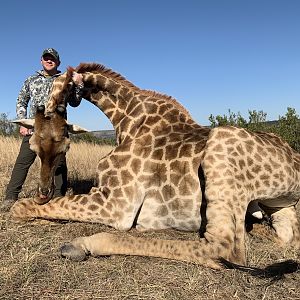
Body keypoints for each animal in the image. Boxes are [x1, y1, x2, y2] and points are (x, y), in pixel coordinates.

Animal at [9, 62, 300, 270]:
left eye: (65, 146)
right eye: (32, 146)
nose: (44, 192)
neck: (127, 123)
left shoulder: (116, 204)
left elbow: (19, 207)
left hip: (222, 143)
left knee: (226, 250)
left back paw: (84, 243)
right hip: (279, 203)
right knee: (288, 238)